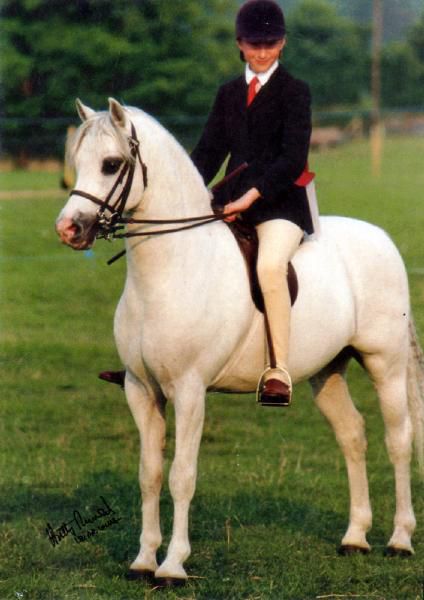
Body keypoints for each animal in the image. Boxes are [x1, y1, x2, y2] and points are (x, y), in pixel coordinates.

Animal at [56, 99, 424, 584]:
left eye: (111, 164)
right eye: (77, 161)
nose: (68, 230)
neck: (172, 268)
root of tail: (382, 238)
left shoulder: (190, 391)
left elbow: (182, 475)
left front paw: (172, 566)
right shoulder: (140, 389)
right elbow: (149, 474)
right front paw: (143, 561)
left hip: (384, 362)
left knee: (398, 438)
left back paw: (399, 539)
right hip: (327, 371)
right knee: (353, 435)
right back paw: (355, 538)